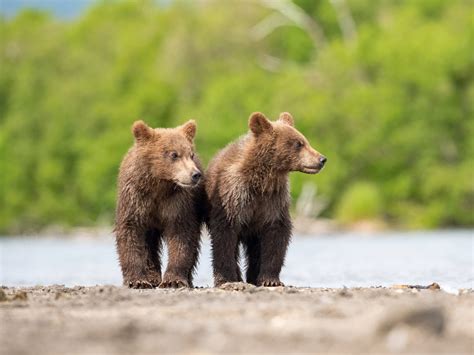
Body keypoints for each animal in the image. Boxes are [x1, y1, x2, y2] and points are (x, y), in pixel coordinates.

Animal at [115, 119, 205, 290]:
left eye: (191, 154)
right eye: (174, 154)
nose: (195, 175)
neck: (159, 184)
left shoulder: (178, 202)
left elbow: (181, 235)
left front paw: (173, 280)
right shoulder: (136, 198)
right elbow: (130, 231)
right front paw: (137, 281)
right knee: (148, 245)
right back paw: (152, 277)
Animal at [206, 112, 328, 288]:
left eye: (305, 141)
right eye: (298, 144)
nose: (322, 159)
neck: (263, 182)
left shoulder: (274, 201)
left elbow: (276, 236)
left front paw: (270, 279)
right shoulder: (234, 197)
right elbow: (224, 236)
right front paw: (225, 278)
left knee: (255, 249)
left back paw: (252, 277)